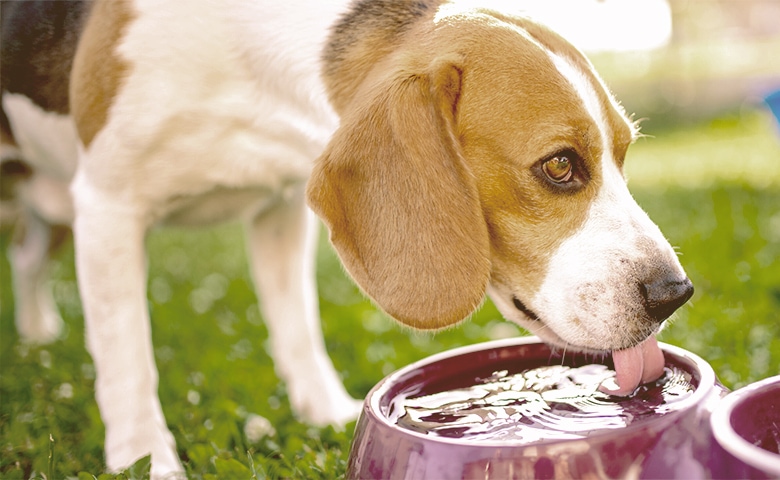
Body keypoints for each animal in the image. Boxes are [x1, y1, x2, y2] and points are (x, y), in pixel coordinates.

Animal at [1, 0, 696, 476]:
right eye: (559, 166)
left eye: (624, 153)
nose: (674, 293)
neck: (248, 60)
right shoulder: (109, 206)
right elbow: (126, 358)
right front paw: (145, 458)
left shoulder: (280, 205)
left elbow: (297, 326)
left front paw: (326, 412)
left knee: (28, 257)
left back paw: (37, 333)